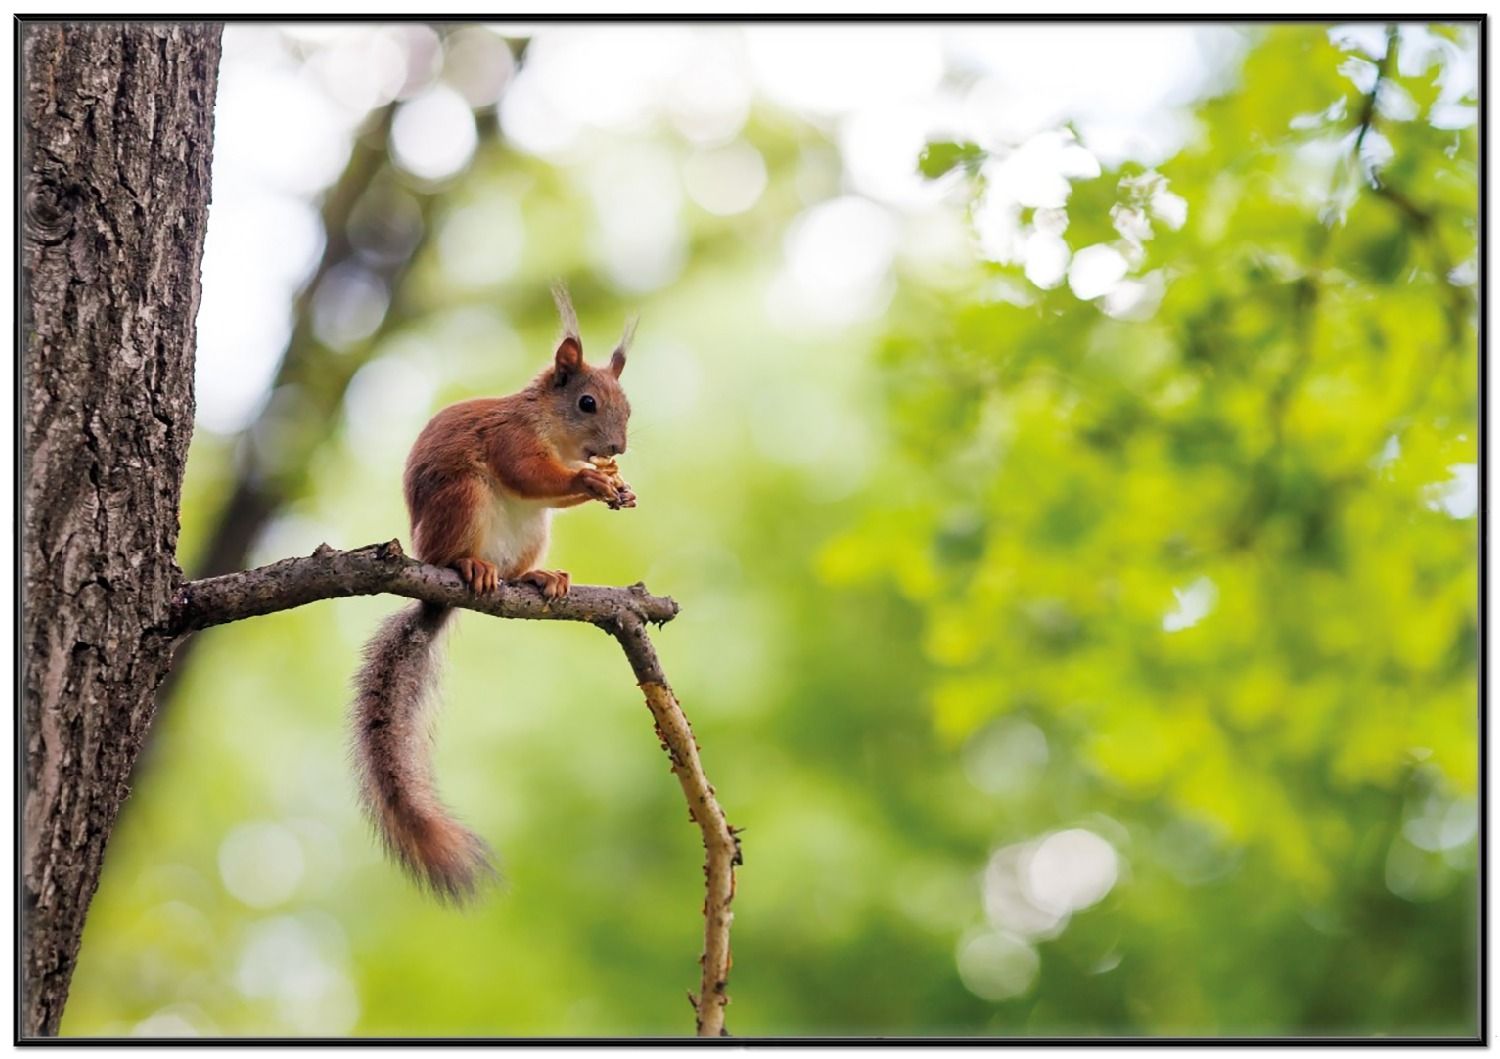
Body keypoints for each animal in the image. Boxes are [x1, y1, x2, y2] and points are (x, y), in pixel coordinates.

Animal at [351, 284, 636, 903]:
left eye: (628, 406)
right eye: (586, 403)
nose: (618, 446)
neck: (550, 426)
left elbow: (551, 490)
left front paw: (615, 486)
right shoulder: (510, 439)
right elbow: (529, 473)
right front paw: (590, 480)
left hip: (532, 533)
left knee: (518, 567)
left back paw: (538, 579)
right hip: (462, 499)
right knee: (458, 551)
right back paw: (470, 566)